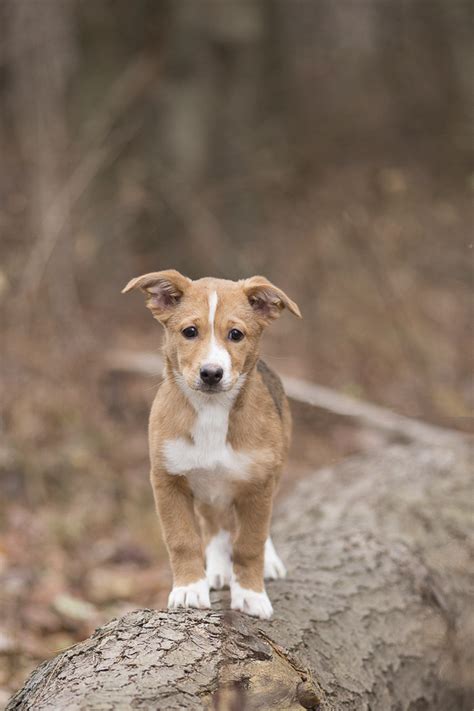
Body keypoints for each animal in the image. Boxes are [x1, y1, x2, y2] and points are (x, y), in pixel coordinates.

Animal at [122, 272, 300, 616]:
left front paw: (251, 594)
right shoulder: (167, 480)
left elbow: (250, 543)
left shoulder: (258, 484)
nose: (211, 373)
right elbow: (182, 540)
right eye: (190, 332)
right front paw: (190, 589)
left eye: (236, 334)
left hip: (276, 467)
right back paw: (217, 569)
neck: (211, 411)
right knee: (214, 525)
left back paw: (268, 562)